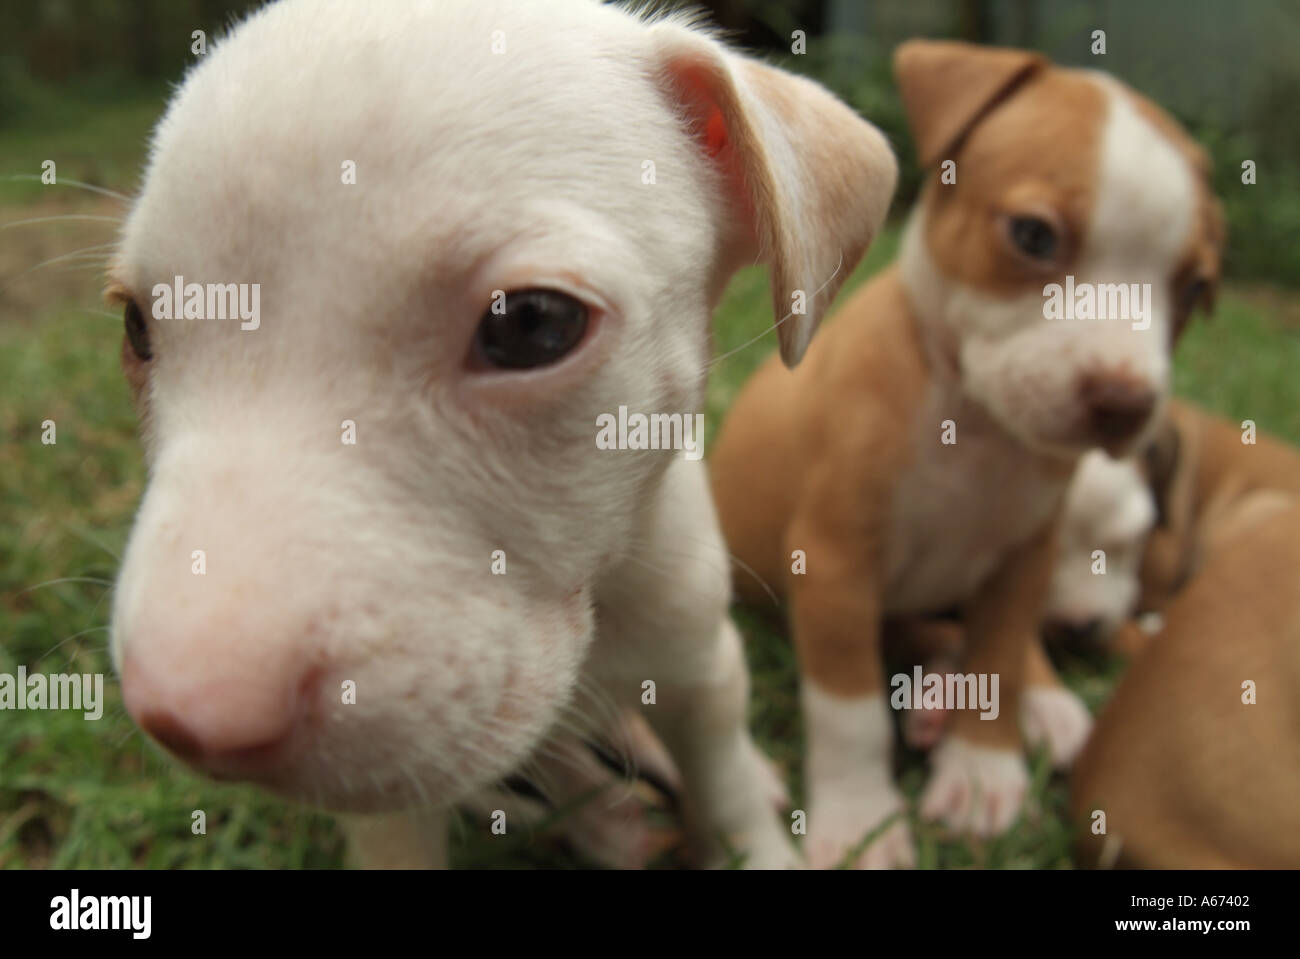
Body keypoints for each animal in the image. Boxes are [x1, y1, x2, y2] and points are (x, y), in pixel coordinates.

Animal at [104, 0, 894, 868]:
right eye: (136, 327)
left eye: (532, 324)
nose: (186, 717)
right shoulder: (393, 799)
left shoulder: (702, 662)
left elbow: (725, 790)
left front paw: (750, 831)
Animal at [707, 41, 1222, 868]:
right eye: (1034, 235)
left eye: (1196, 287)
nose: (1124, 401)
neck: (973, 428)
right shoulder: (835, 561)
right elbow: (850, 709)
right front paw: (862, 822)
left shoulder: (1023, 559)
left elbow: (1002, 659)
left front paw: (983, 771)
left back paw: (1035, 702)